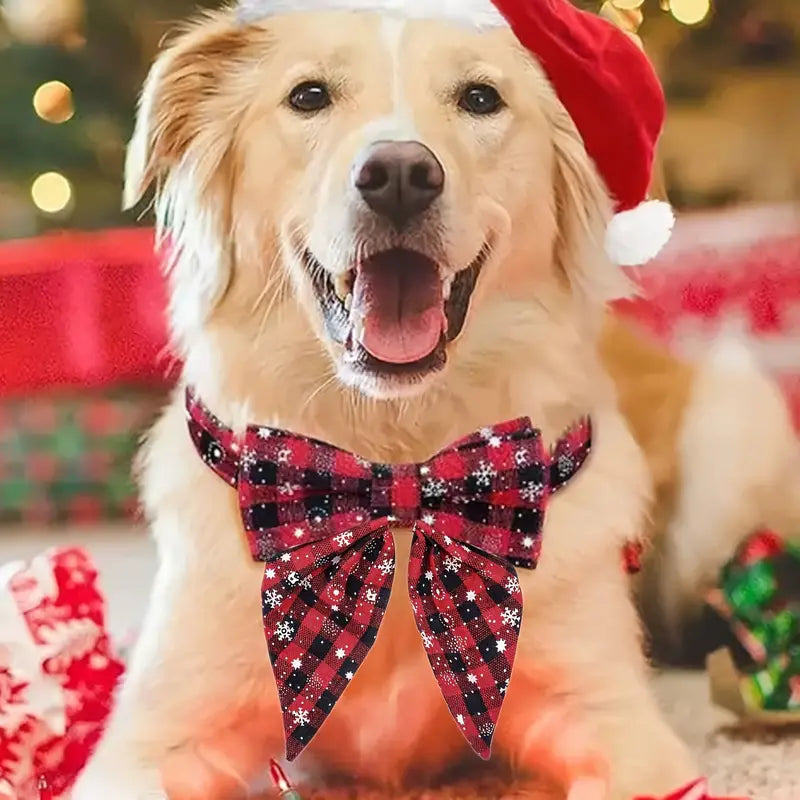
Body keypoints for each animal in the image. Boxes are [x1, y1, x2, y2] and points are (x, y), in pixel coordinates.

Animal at [75, 6, 700, 800]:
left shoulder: (618, 723)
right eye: (308, 96)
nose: (399, 175)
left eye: (481, 98)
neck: (393, 463)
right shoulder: (151, 739)